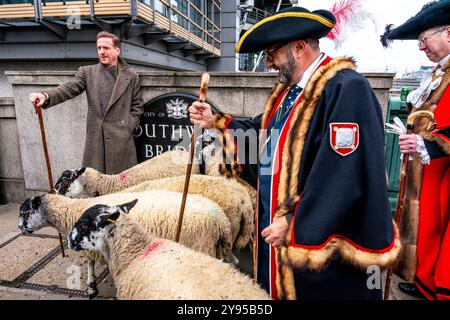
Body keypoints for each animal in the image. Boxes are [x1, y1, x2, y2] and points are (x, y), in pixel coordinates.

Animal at [18, 190, 232, 298]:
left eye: (25, 212)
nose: (20, 228)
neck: (70, 209)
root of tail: (222, 222)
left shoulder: (91, 248)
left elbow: (89, 263)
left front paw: (91, 286)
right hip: (218, 248)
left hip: (203, 245)